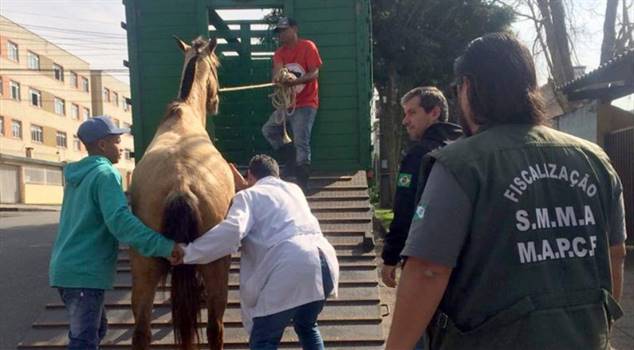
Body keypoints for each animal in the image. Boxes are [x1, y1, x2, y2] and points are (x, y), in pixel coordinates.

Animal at [128, 36, 235, 350]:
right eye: (216, 66)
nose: (215, 101)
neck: (182, 116)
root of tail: (180, 184)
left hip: (143, 269)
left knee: (142, 332)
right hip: (215, 267)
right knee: (214, 328)